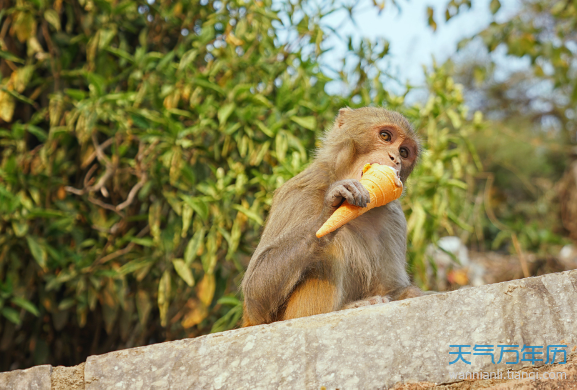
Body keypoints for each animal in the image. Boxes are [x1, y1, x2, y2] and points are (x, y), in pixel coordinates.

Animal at [241, 106, 420, 326]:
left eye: (404, 152)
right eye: (385, 136)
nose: (395, 158)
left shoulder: (395, 218)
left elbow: (393, 288)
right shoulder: (299, 193)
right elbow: (256, 295)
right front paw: (329, 211)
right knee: (331, 250)